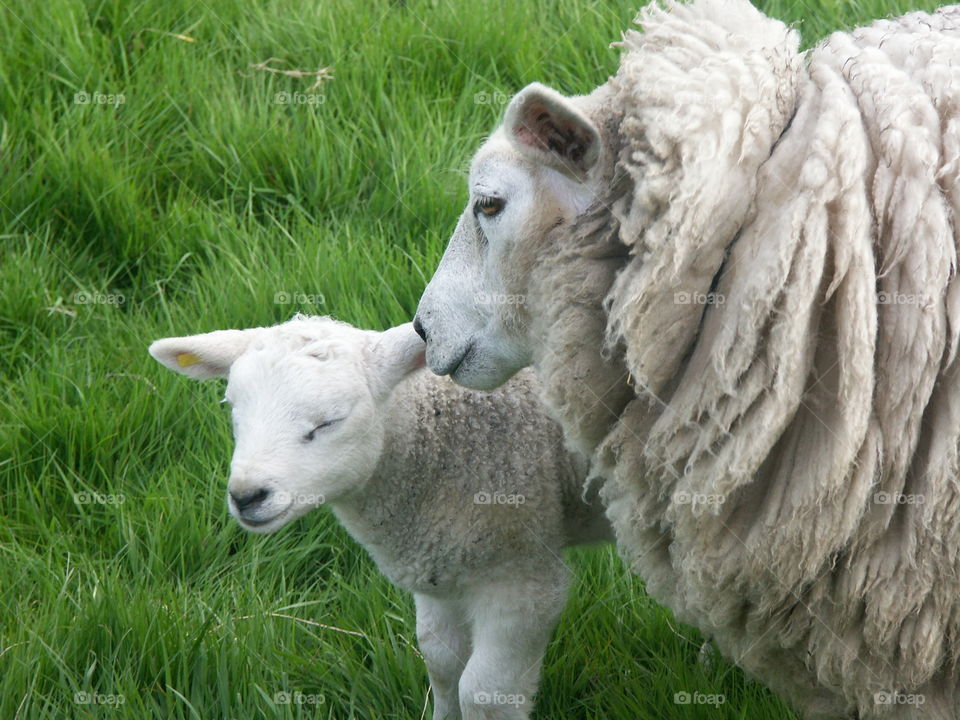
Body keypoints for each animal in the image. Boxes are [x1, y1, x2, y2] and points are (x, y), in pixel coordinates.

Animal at [148, 315, 610, 720]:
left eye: (328, 422)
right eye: (233, 408)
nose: (246, 496)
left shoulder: (521, 576)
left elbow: (485, 693)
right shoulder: (442, 564)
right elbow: (442, 664)